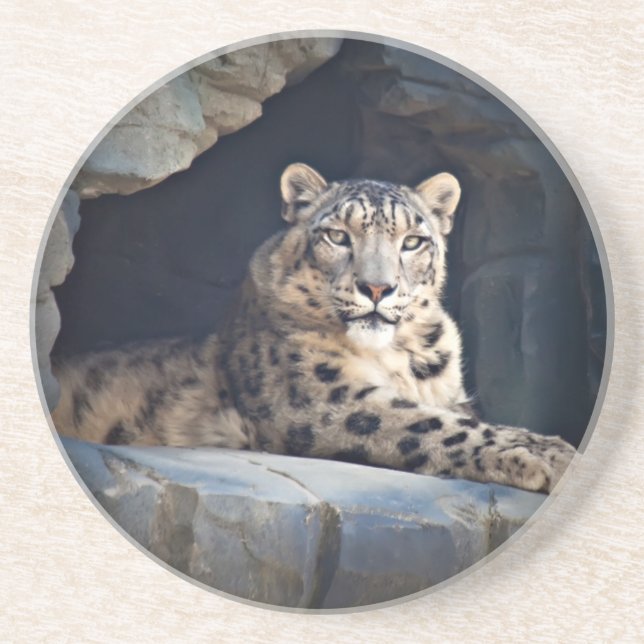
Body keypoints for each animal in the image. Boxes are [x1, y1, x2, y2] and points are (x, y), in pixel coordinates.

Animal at [51, 163, 576, 493]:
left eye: (412, 241)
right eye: (338, 236)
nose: (377, 287)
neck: (398, 357)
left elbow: (462, 418)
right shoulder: (320, 398)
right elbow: (431, 424)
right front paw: (551, 455)